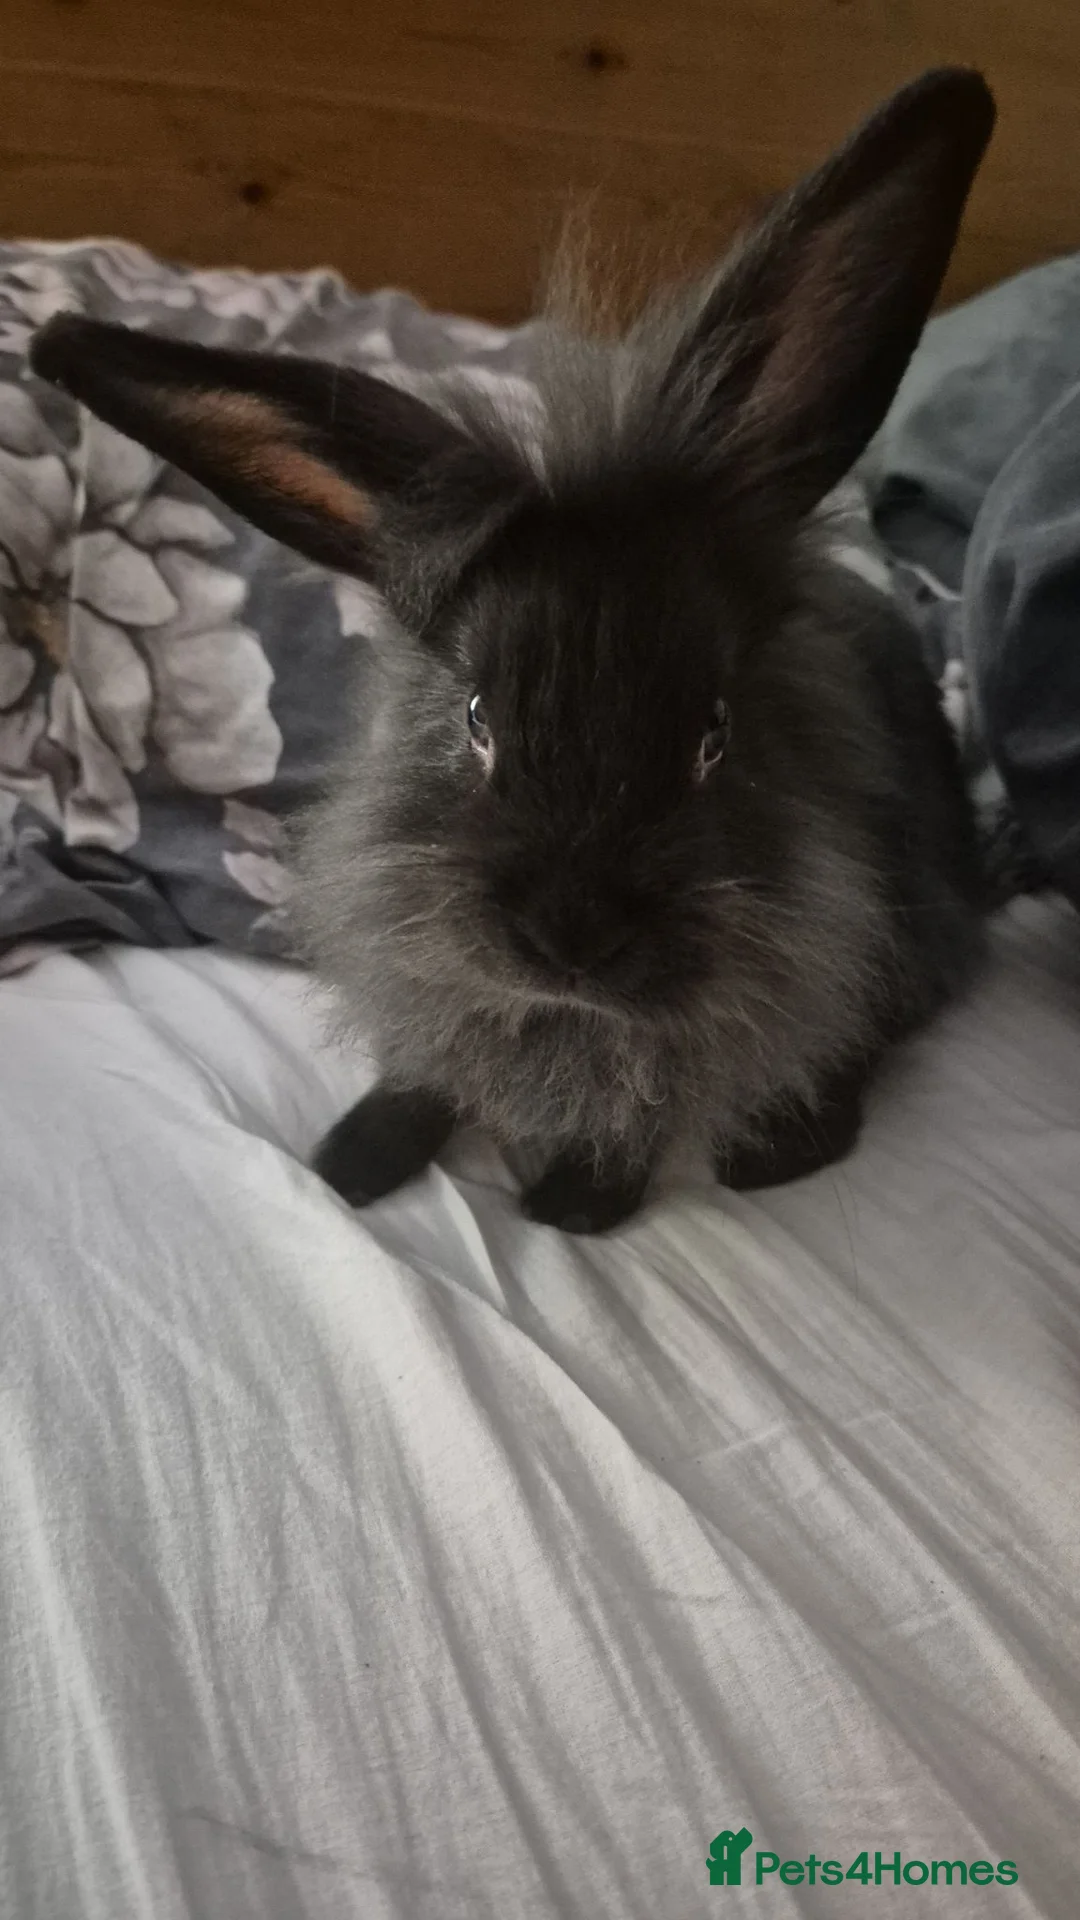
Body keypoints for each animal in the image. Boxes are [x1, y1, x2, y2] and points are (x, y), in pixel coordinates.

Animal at [31, 67, 995, 1234]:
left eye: (713, 737)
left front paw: (573, 1206)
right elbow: (426, 1072)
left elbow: (647, 1094)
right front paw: (346, 1164)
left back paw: (774, 1152)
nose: (570, 938)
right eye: (478, 718)